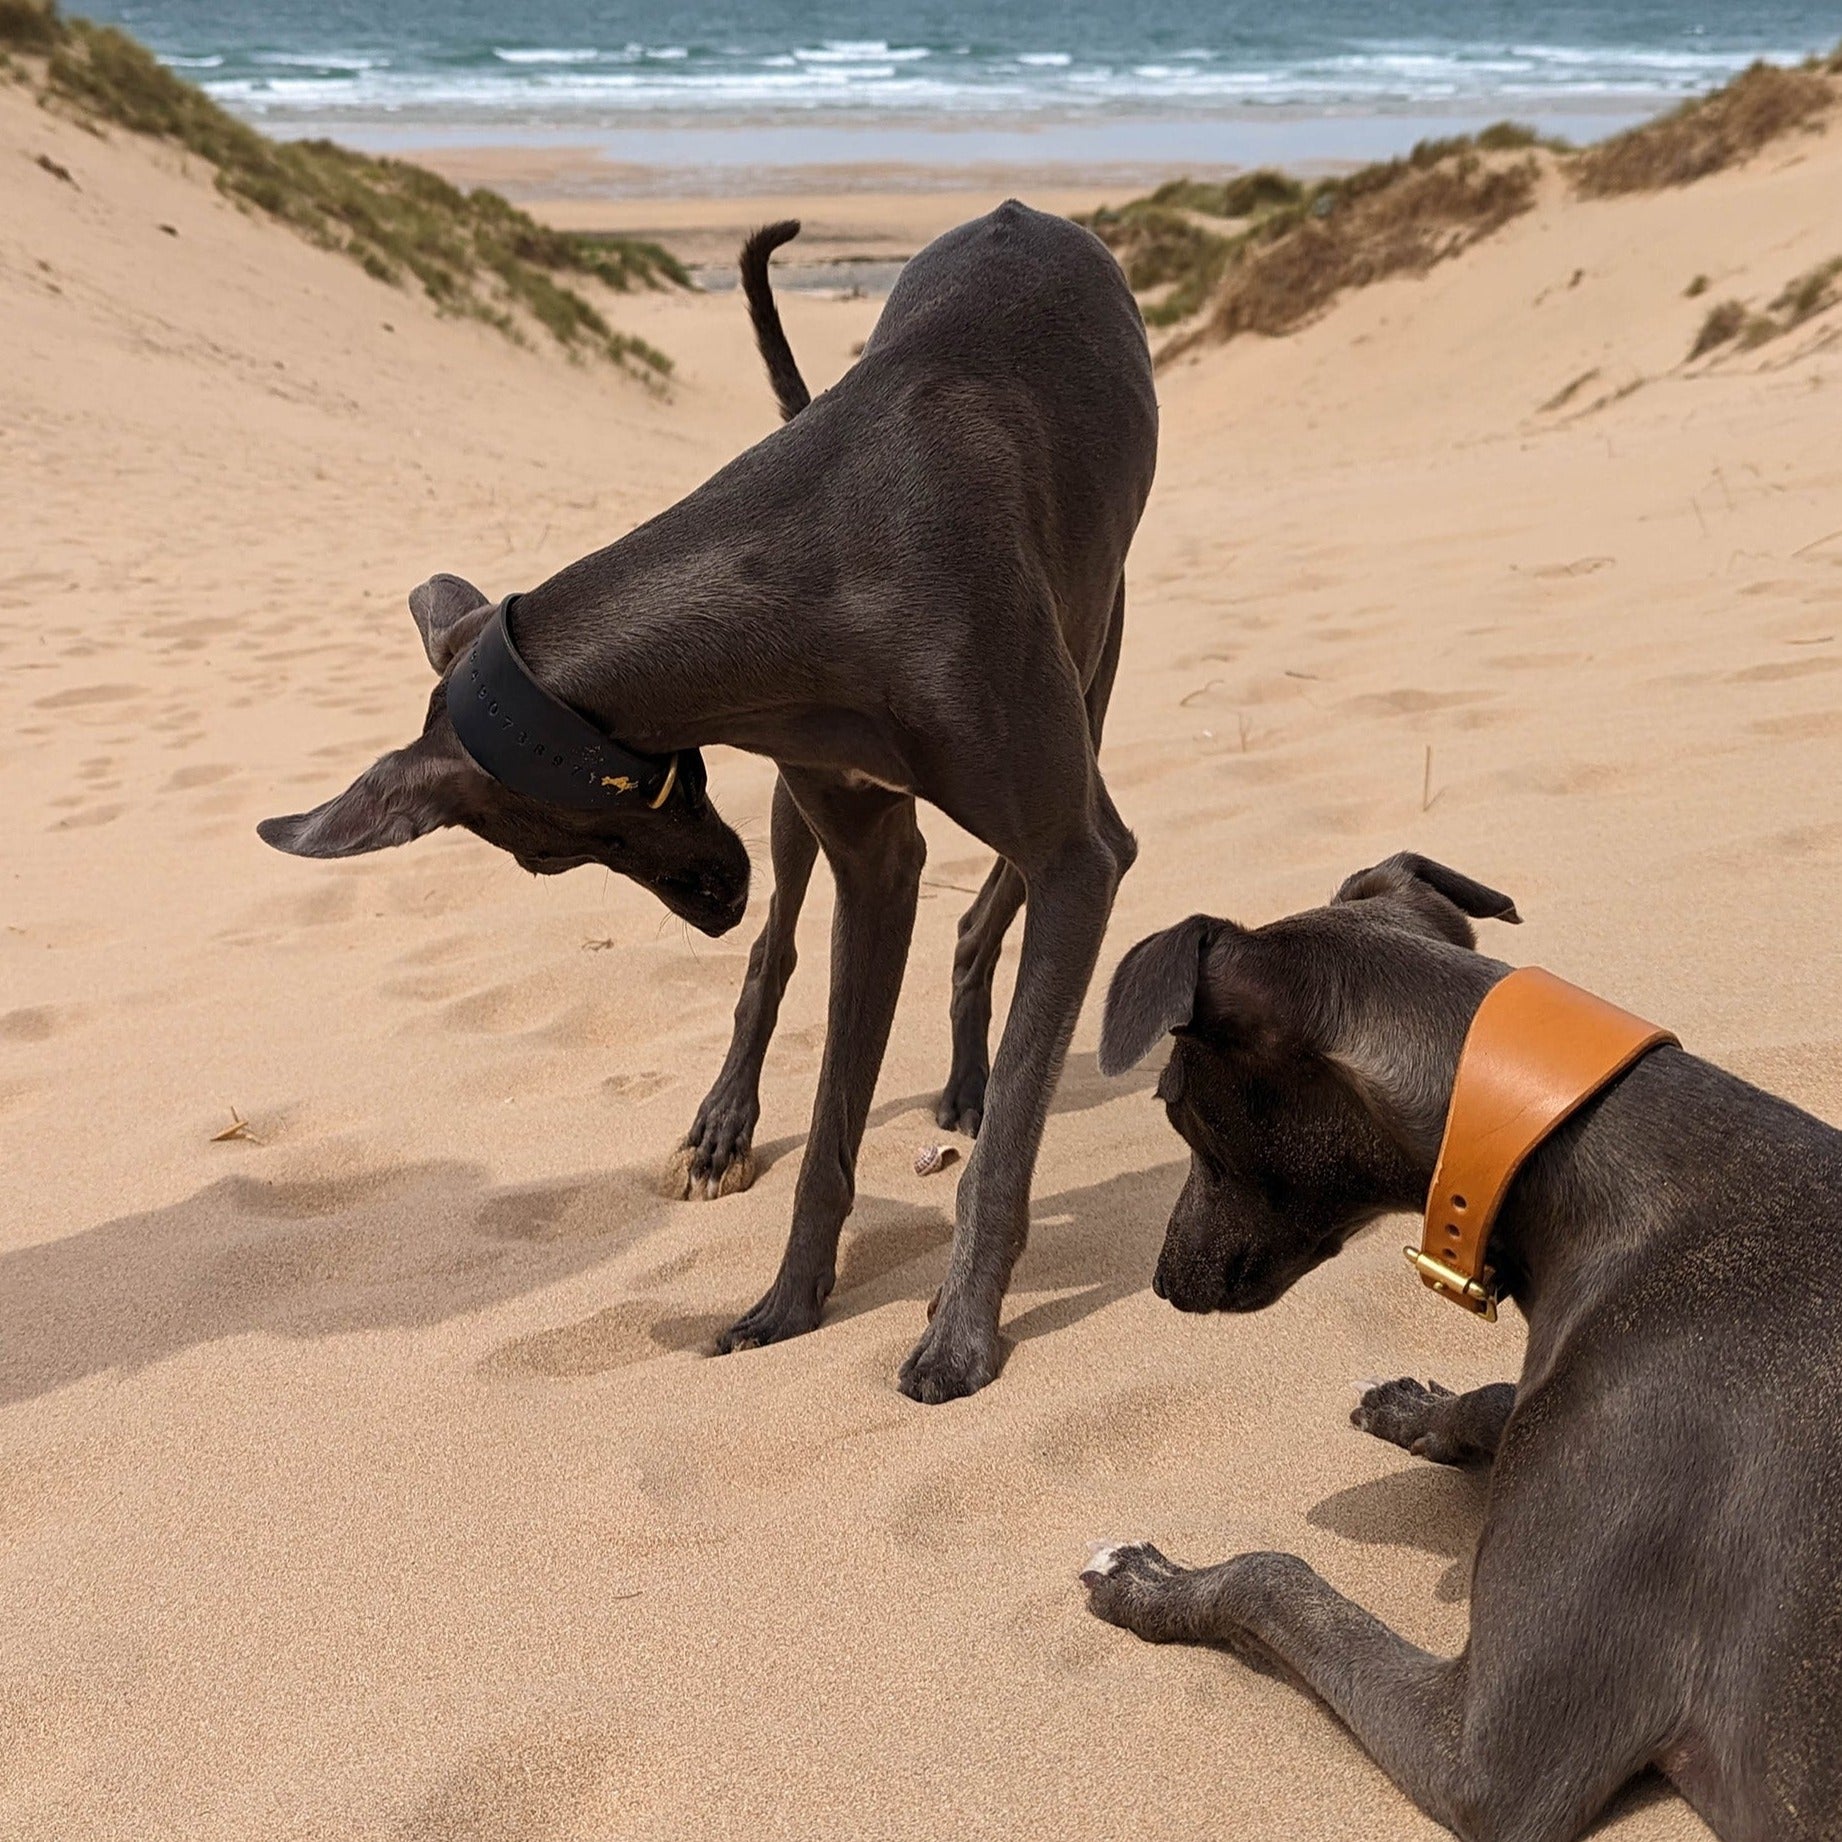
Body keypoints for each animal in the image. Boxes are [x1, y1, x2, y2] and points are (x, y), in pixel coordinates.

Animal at [263, 205, 1149, 1407]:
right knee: (788, 949)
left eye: (543, 860)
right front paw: (789, 1303)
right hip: (804, 810)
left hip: (1091, 669)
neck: (831, 551)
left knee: (999, 909)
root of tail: (1025, 212)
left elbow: (1010, 1136)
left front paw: (962, 1331)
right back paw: (736, 1118)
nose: (717, 905)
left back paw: (964, 1075)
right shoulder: (867, 853)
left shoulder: (1075, 853)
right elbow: (828, 1125)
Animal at [1075, 854, 1842, 1842]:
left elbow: (1272, 1576)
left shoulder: (1488, 1758)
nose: (1164, 1282)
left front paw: (1151, 1580)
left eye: (1172, 1108)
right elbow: (1502, 1398)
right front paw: (1417, 1409)